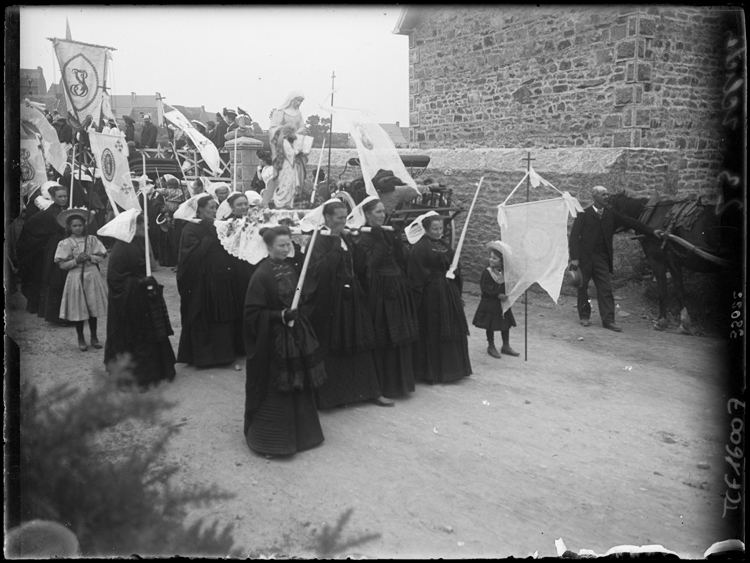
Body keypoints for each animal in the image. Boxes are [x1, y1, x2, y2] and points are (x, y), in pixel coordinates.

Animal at [612, 193, 740, 334]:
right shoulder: (673, 261)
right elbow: (679, 291)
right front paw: (685, 324)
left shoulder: (657, 259)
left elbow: (662, 290)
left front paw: (661, 321)